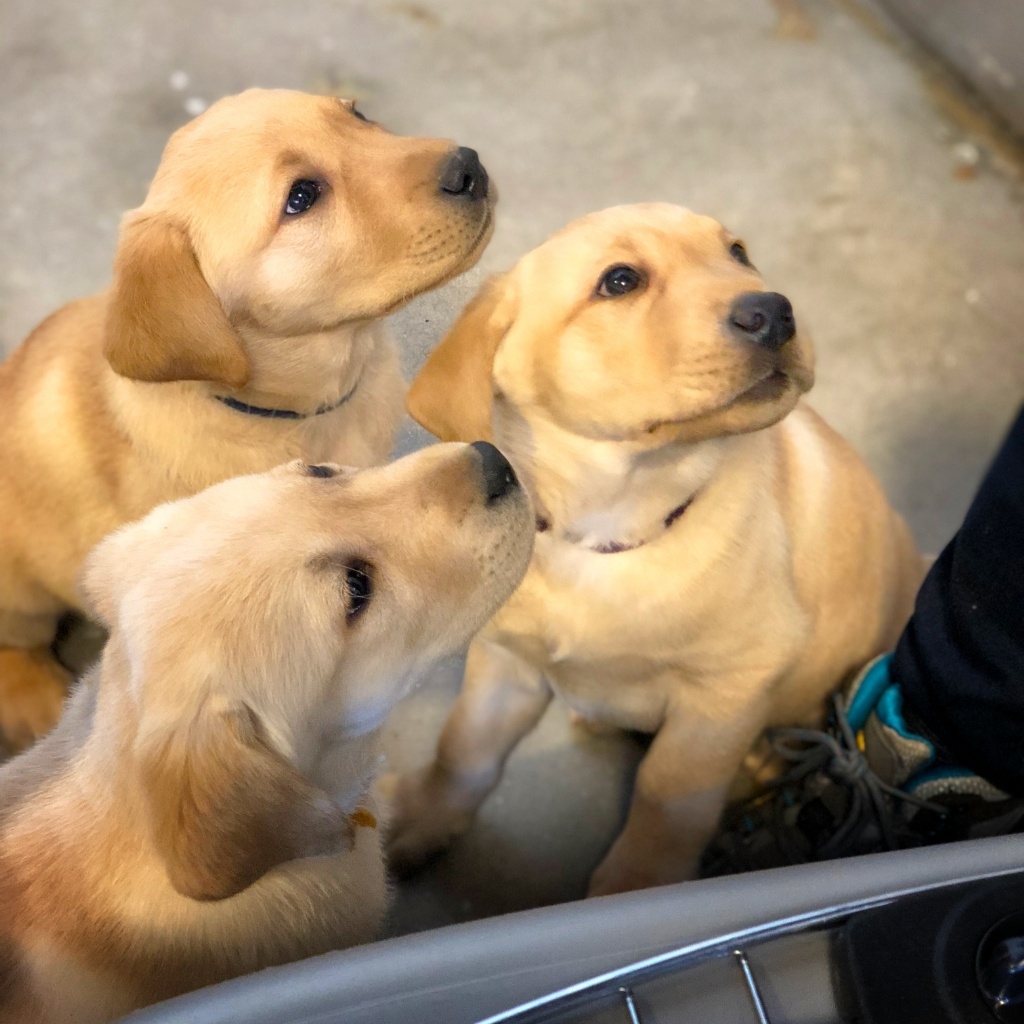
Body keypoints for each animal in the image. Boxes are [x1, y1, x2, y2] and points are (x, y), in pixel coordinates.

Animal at [387, 203, 925, 892]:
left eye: (739, 253)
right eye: (620, 281)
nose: (776, 312)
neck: (606, 528)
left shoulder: (729, 689)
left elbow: (666, 795)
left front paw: (634, 885)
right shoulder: (506, 663)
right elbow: (462, 751)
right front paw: (419, 822)